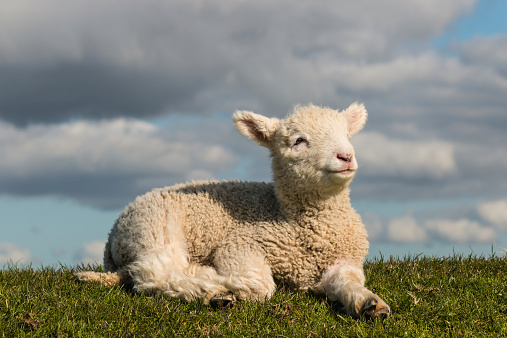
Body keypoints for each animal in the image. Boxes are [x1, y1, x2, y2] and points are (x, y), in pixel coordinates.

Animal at [75, 103, 390, 320]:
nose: (346, 156)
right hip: (155, 228)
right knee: (154, 274)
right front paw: (215, 278)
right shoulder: (241, 245)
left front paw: (370, 304)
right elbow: (260, 285)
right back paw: (211, 291)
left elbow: (349, 282)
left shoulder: (344, 259)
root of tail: (113, 234)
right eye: (299, 140)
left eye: (346, 134)